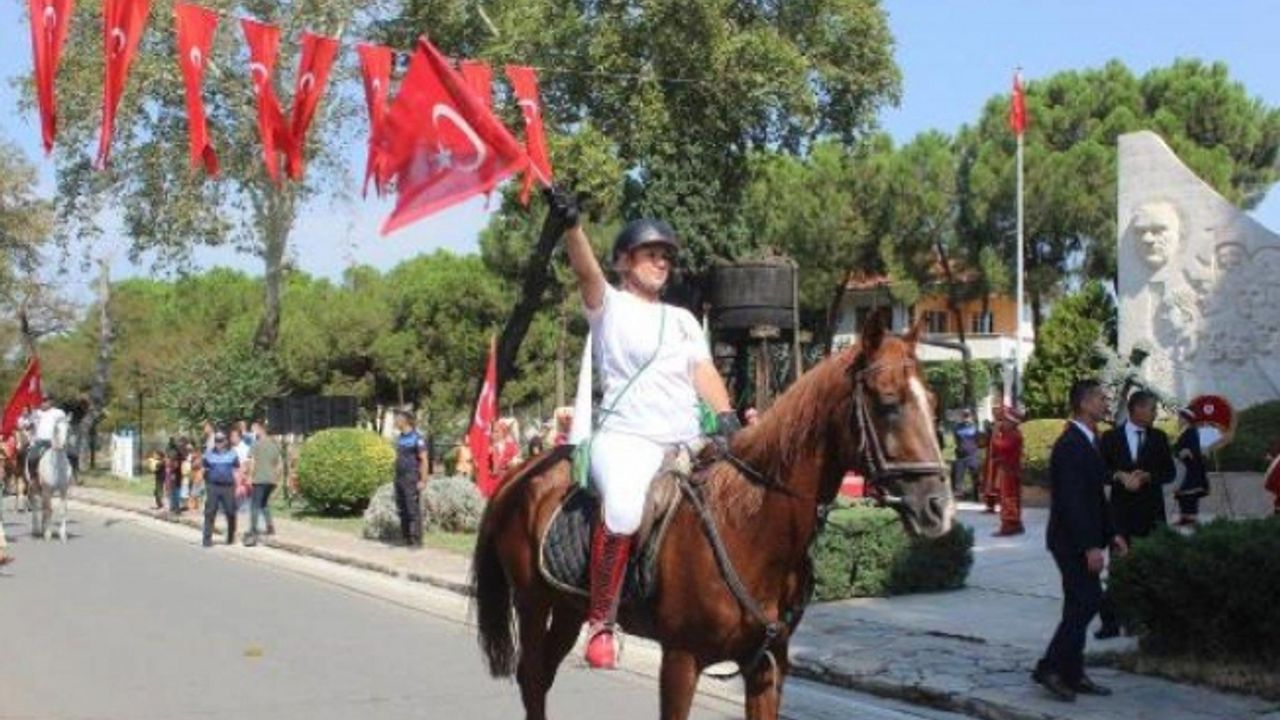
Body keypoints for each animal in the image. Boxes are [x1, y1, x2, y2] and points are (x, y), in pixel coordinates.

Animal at [471, 315, 955, 720]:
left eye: (933, 402)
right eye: (889, 403)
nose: (940, 507)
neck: (750, 528)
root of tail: (519, 474)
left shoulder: (768, 667)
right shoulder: (681, 660)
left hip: (569, 608)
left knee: (541, 675)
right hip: (532, 603)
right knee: (532, 677)